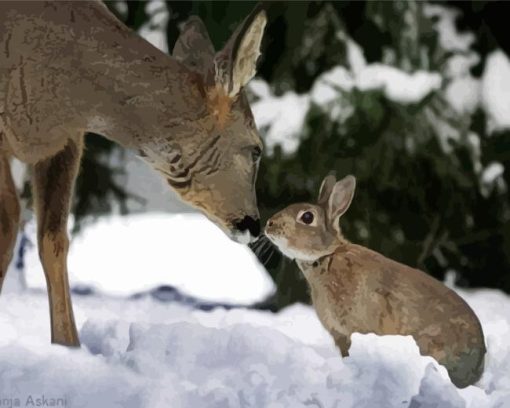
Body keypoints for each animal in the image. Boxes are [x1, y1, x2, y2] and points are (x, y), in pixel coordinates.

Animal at [0, 1, 268, 348]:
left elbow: (54, 238)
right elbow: (8, 222)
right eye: (257, 149)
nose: (254, 225)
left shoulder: (67, 140)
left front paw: (69, 347)